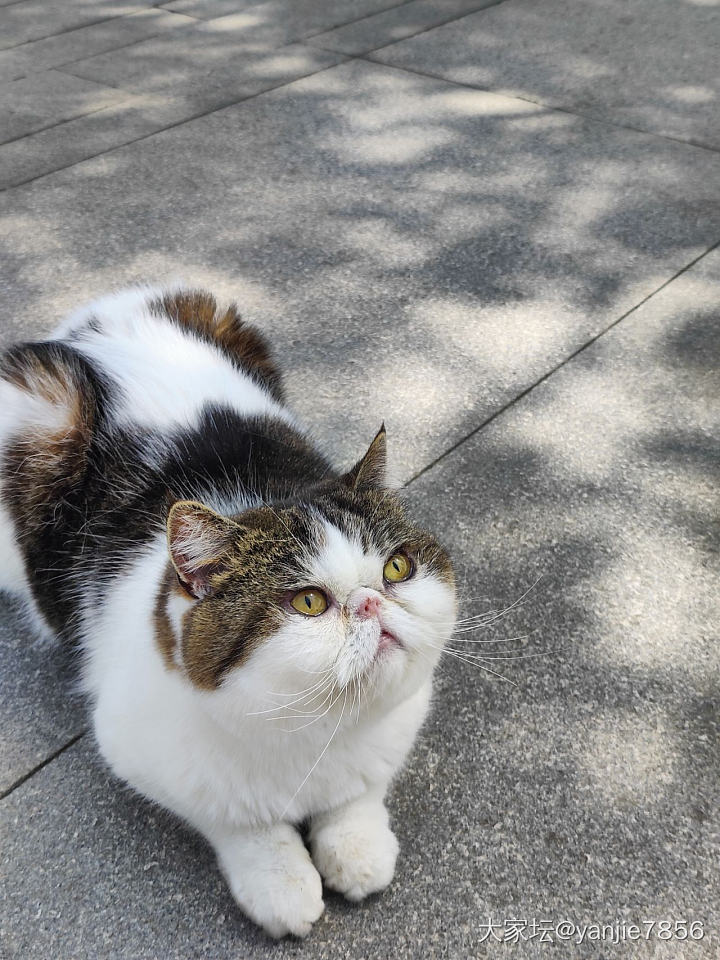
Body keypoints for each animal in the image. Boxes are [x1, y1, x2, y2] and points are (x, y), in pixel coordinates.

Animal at [1, 284, 456, 936]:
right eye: (310, 601)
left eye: (397, 569)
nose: (370, 602)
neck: (315, 737)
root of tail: (94, 318)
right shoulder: (139, 750)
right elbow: (241, 824)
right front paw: (280, 882)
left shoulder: (395, 726)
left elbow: (360, 793)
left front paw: (357, 850)